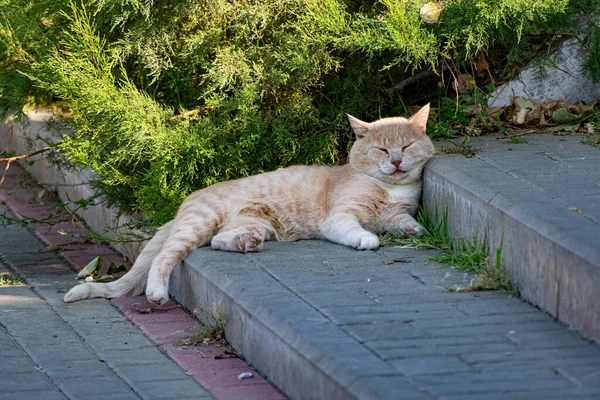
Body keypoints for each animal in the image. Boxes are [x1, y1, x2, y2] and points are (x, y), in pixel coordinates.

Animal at [63, 104, 434, 304]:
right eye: (383, 150)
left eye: (407, 146)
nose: (396, 161)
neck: (391, 189)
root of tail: (187, 201)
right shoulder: (340, 217)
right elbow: (358, 230)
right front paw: (368, 239)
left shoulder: (398, 212)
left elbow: (401, 222)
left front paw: (413, 230)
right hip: (199, 222)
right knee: (165, 257)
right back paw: (156, 291)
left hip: (255, 222)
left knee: (218, 241)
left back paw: (247, 243)